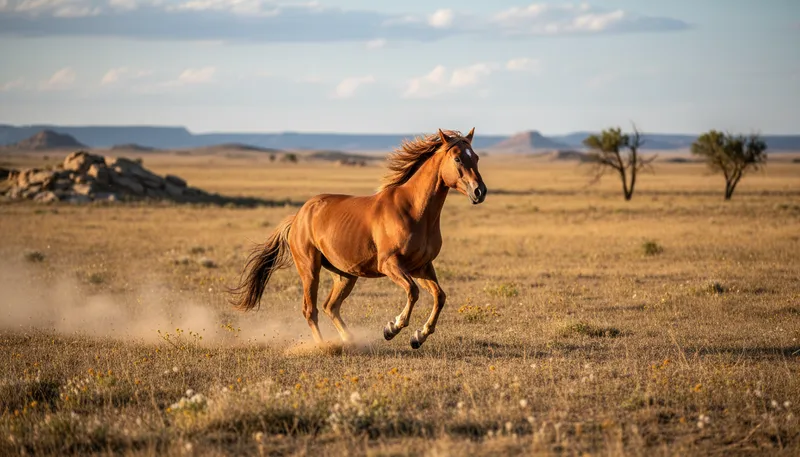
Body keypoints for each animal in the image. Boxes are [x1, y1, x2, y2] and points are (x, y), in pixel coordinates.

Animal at [229, 128, 487, 349]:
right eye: (457, 159)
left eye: (475, 157)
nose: (480, 192)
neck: (414, 210)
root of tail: (299, 216)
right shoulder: (390, 265)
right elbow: (413, 292)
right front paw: (392, 328)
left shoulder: (421, 267)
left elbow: (439, 296)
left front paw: (418, 337)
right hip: (309, 269)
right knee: (310, 310)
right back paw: (323, 346)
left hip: (344, 275)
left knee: (330, 307)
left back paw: (349, 340)